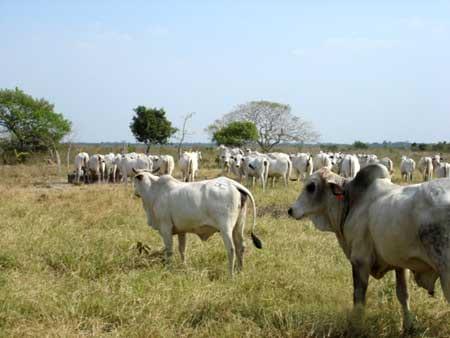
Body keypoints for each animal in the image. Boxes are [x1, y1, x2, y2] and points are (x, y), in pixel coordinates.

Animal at [132, 170, 262, 276]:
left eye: (135, 180)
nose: (134, 193)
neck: (155, 191)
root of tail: (234, 184)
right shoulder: (181, 230)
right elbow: (182, 249)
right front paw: (183, 266)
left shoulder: (166, 228)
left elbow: (169, 251)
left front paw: (168, 269)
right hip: (238, 226)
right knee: (241, 246)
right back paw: (240, 271)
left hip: (226, 228)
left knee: (231, 249)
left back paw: (231, 275)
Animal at [288, 165, 450, 332]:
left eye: (311, 186)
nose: (291, 210)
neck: (351, 200)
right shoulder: (400, 264)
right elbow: (403, 295)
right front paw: (408, 327)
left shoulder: (360, 261)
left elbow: (358, 298)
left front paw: (356, 327)